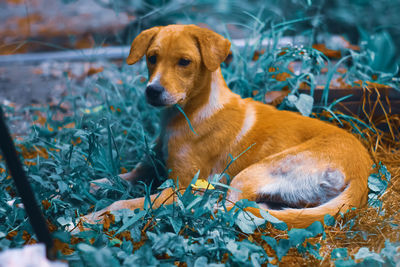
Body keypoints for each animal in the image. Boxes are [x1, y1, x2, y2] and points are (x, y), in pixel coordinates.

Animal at [83, 25, 374, 229]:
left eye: (185, 62)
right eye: (152, 58)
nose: (152, 91)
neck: (188, 114)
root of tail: (362, 172)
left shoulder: (180, 187)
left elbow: (122, 202)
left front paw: (88, 219)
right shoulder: (148, 168)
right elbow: (110, 179)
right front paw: (92, 188)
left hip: (251, 173)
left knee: (229, 210)